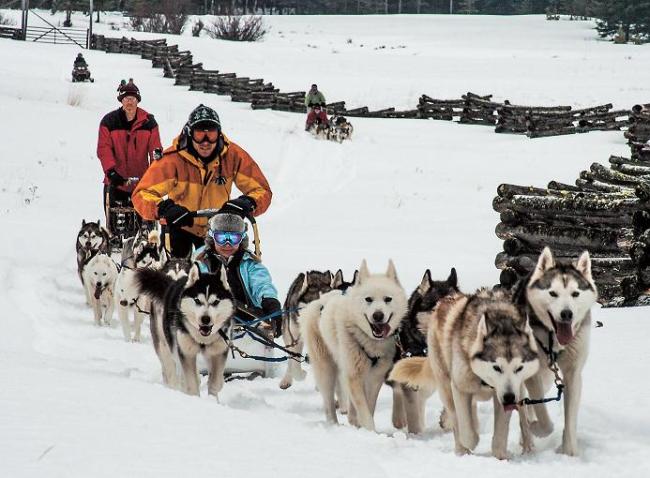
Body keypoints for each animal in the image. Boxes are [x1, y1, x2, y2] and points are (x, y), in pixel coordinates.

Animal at [136, 264, 235, 398]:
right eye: (197, 300)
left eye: (216, 302)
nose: (205, 319)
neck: (202, 339)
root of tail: (172, 283)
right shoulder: (186, 352)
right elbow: (191, 381)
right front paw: (194, 397)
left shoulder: (218, 352)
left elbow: (216, 382)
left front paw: (213, 398)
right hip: (165, 346)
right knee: (171, 371)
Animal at [300, 260, 404, 432]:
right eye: (368, 299)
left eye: (388, 299)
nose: (378, 315)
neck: (367, 340)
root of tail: (319, 301)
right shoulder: (354, 375)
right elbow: (364, 411)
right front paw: (370, 431)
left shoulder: (375, 377)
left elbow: (369, 406)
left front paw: (362, 426)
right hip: (326, 369)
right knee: (328, 402)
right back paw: (334, 424)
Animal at [390, 288, 536, 460]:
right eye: (496, 367)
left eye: (518, 368)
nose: (509, 397)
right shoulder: (460, 389)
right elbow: (466, 431)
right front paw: (470, 444)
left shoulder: (505, 394)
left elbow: (501, 432)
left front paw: (500, 456)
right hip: (446, 387)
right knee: (455, 417)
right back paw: (461, 449)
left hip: (518, 390)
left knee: (523, 417)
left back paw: (528, 445)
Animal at [520, 246, 596, 456]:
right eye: (553, 293)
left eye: (575, 294)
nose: (566, 314)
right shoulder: (532, 374)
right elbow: (543, 417)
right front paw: (538, 428)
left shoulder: (573, 374)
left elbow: (570, 420)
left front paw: (569, 452)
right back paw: (527, 438)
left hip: (547, 378)